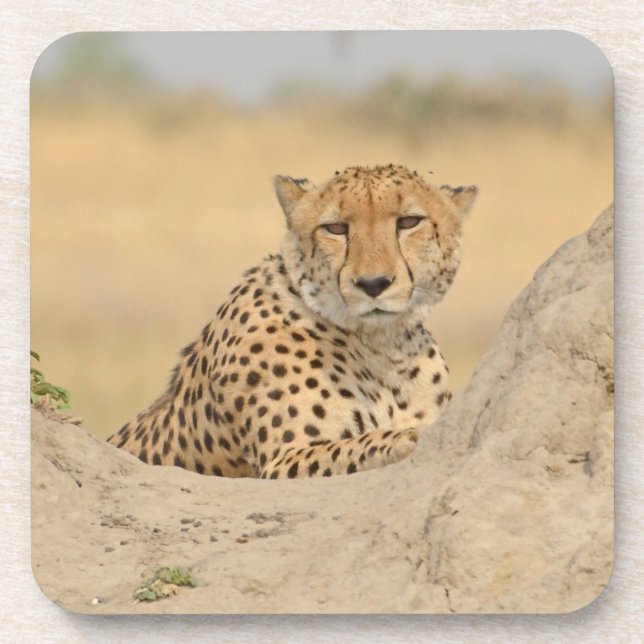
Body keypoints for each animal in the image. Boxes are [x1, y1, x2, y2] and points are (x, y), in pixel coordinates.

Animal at [107, 164, 477, 479]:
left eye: (409, 222)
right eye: (335, 228)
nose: (373, 284)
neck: (384, 346)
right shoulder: (282, 462)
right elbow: (365, 444)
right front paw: (410, 437)